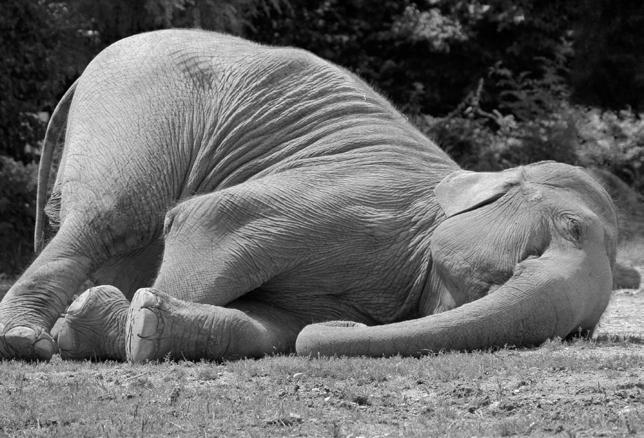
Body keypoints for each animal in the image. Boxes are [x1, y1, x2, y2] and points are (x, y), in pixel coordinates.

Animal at [0, 29, 620, 362]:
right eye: (568, 228)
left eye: (581, 332)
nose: (352, 329)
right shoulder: (358, 202)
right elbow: (211, 221)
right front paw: (110, 326)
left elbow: (275, 326)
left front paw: (131, 322)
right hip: (138, 108)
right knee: (111, 217)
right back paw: (27, 341)